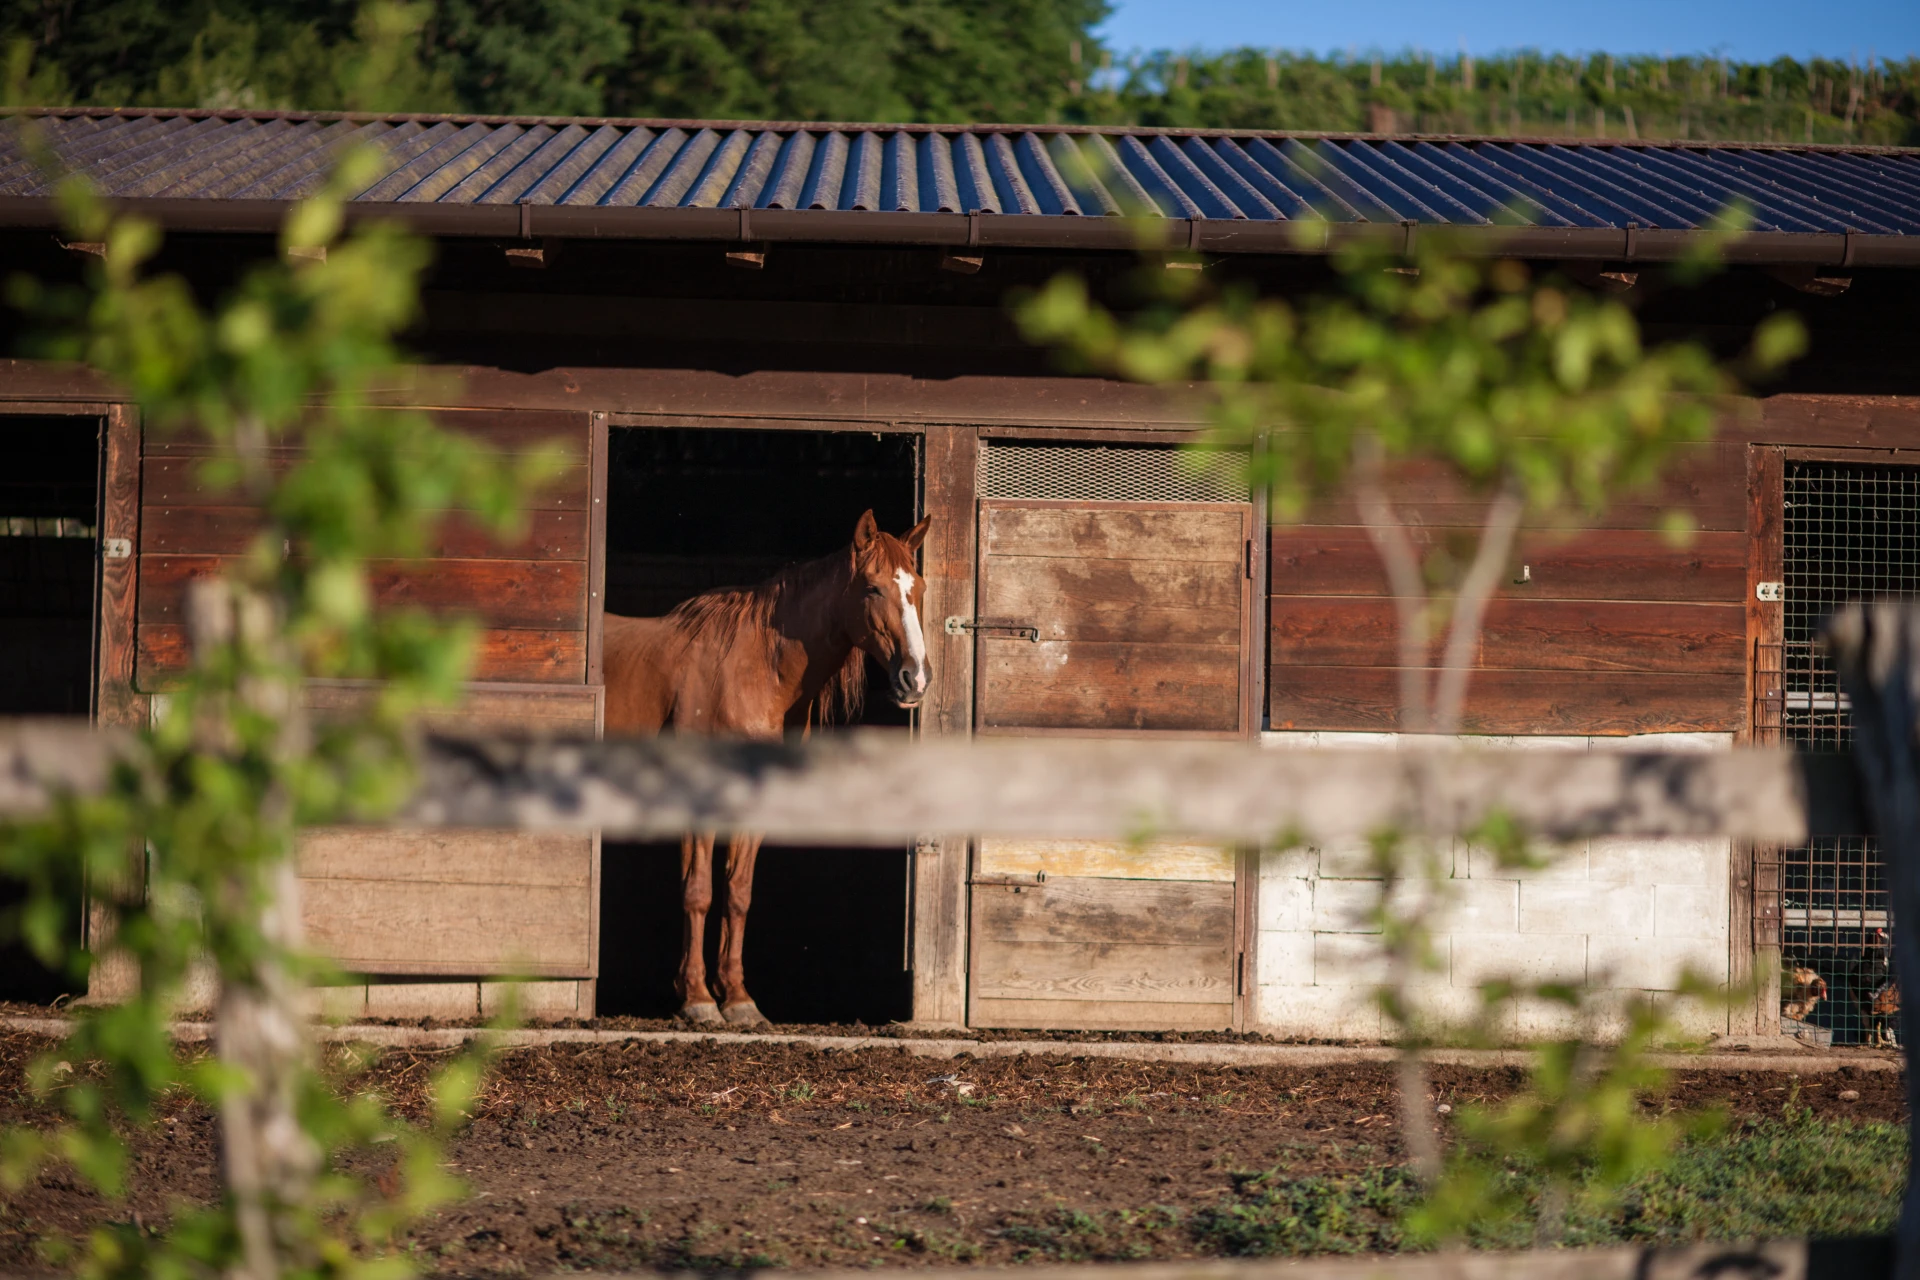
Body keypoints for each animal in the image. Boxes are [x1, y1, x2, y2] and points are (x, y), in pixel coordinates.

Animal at [602, 509, 933, 1024]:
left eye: (917, 587)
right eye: (873, 588)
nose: (914, 678)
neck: (754, 671)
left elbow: (738, 893)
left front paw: (738, 999)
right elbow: (698, 891)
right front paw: (697, 999)